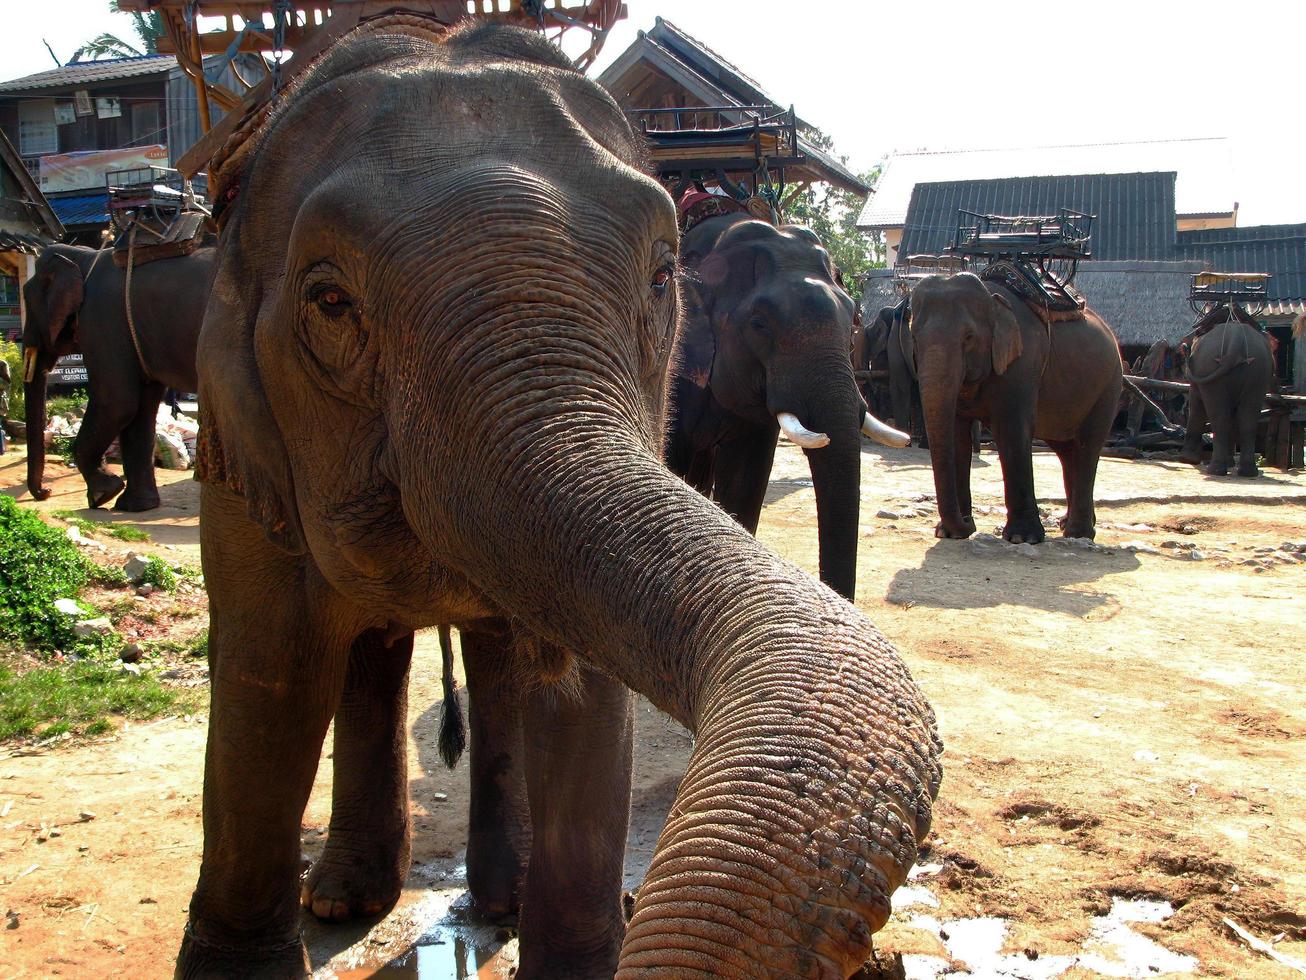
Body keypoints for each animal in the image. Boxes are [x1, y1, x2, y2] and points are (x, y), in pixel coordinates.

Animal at [23, 241, 215, 509]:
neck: (84, 258)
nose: (46, 492)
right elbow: (140, 410)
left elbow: (116, 403)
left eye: (27, 302)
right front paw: (134, 506)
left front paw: (103, 494)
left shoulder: (103, 323)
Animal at [908, 274, 1123, 546]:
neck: (992, 299)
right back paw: (1068, 524)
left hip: (1109, 385)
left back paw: (1078, 533)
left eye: (969, 337)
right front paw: (949, 533)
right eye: (914, 338)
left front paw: (1022, 538)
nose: (967, 523)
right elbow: (957, 438)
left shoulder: (1023, 362)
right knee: (1067, 450)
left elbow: (1012, 431)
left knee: (1088, 445)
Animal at [1180, 305, 1269, 478]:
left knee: (1219, 415)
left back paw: (1215, 470)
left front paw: (1187, 459)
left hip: (1210, 367)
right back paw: (1248, 472)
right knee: (1248, 416)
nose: (1184, 347)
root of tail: (1236, 340)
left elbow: (1196, 406)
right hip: (1258, 372)